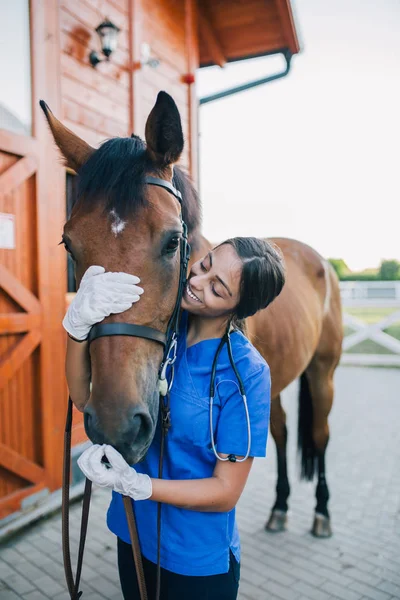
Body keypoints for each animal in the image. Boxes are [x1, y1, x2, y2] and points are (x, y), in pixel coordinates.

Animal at [43, 91, 344, 536]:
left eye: (172, 241)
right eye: (68, 243)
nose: (117, 426)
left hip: (323, 374)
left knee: (320, 435)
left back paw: (322, 511)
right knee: (280, 430)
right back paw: (280, 506)